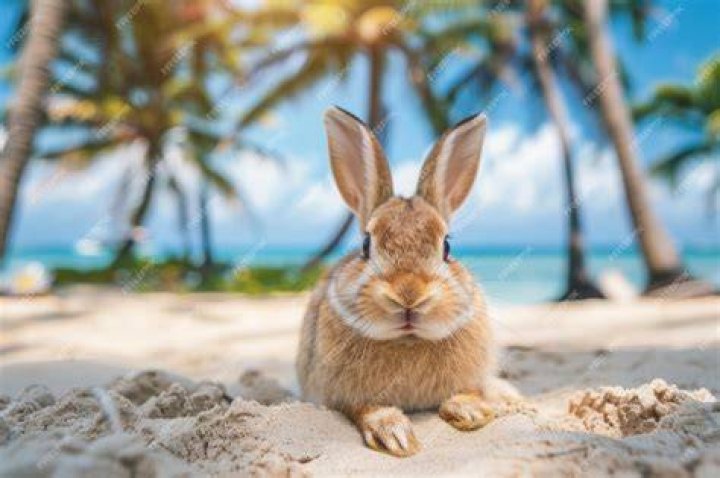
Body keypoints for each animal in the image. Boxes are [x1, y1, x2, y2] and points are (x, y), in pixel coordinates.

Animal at [296, 107, 497, 458]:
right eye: (366, 245)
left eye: (447, 247)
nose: (409, 294)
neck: (408, 341)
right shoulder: (342, 394)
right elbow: (365, 408)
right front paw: (395, 434)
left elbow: (469, 392)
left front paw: (470, 411)